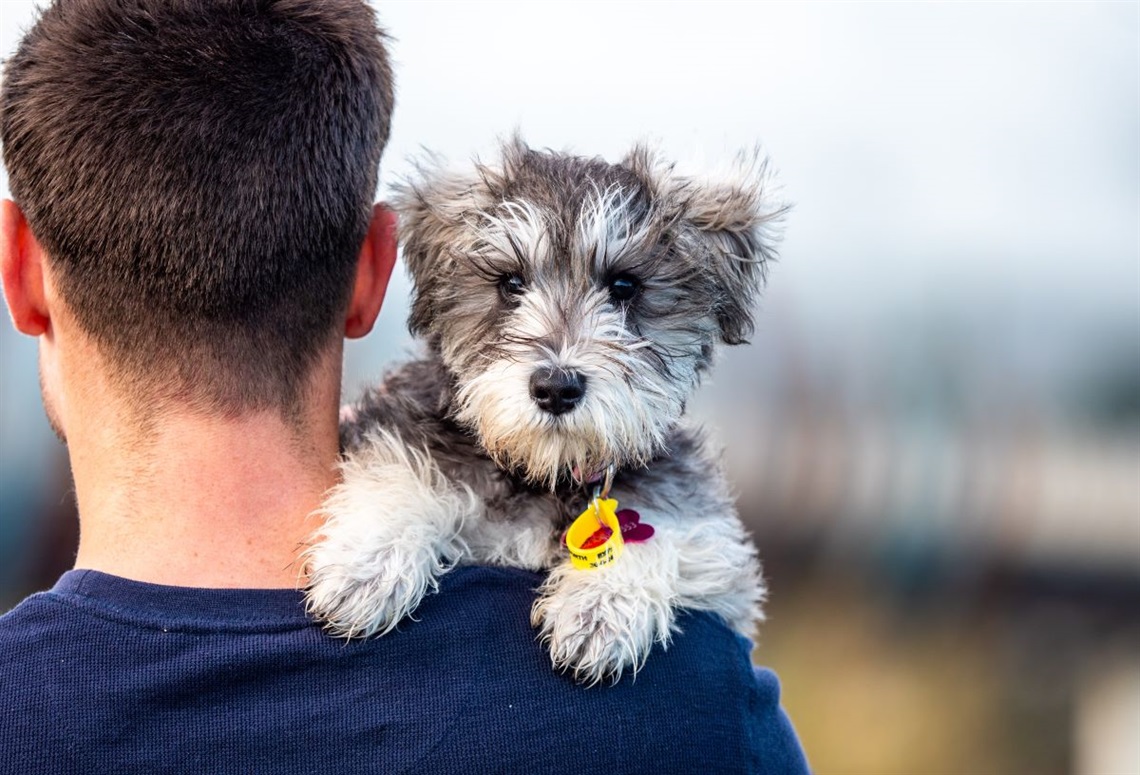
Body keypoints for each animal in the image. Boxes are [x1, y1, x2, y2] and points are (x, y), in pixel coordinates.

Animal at [303, 139, 784, 683]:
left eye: (624, 286)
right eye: (511, 283)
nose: (556, 388)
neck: (545, 475)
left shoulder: (720, 565)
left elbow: (671, 532)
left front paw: (599, 609)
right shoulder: (408, 429)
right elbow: (404, 469)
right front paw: (367, 564)